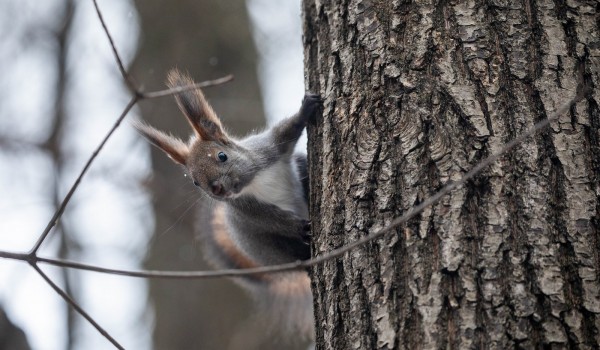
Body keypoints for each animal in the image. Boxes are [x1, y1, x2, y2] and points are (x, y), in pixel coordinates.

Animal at [131, 69, 318, 344]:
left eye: (222, 156)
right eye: (195, 182)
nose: (217, 189)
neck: (252, 182)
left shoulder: (267, 149)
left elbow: (286, 132)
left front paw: (306, 110)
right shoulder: (245, 207)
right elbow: (272, 219)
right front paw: (299, 227)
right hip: (268, 248)